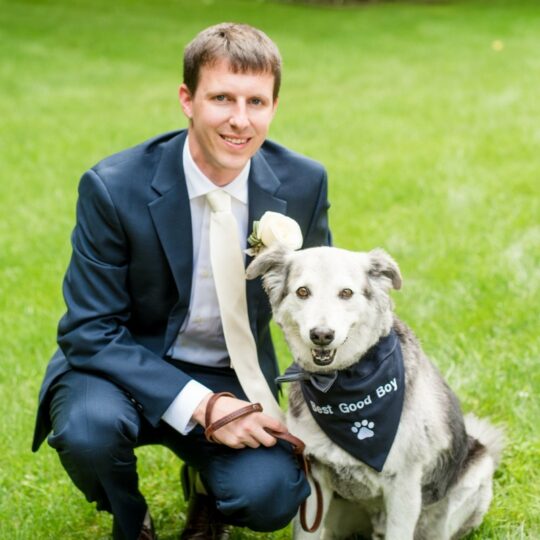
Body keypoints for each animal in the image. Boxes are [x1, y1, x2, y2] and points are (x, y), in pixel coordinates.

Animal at [246, 245, 504, 540]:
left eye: (346, 293)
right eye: (303, 292)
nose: (321, 335)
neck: (341, 381)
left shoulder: (403, 485)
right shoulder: (314, 479)